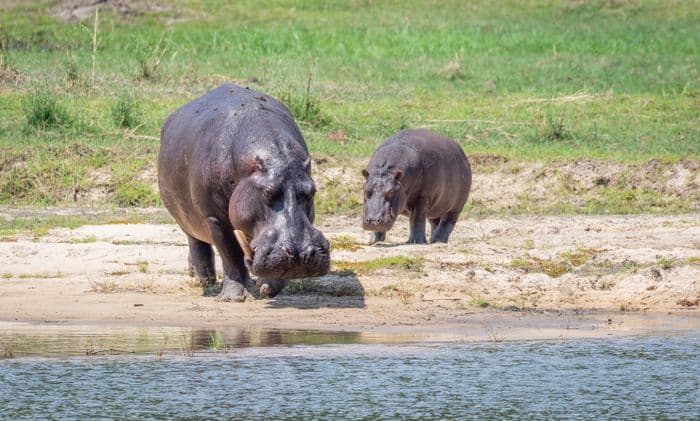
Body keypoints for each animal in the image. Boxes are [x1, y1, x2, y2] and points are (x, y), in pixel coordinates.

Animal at [159, 82, 330, 300]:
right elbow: (231, 255)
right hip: (187, 216)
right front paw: (233, 297)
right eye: (267, 192)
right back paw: (204, 279)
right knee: (197, 242)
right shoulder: (214, 218)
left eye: (311, 191)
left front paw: (266, 289)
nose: (300, 253)